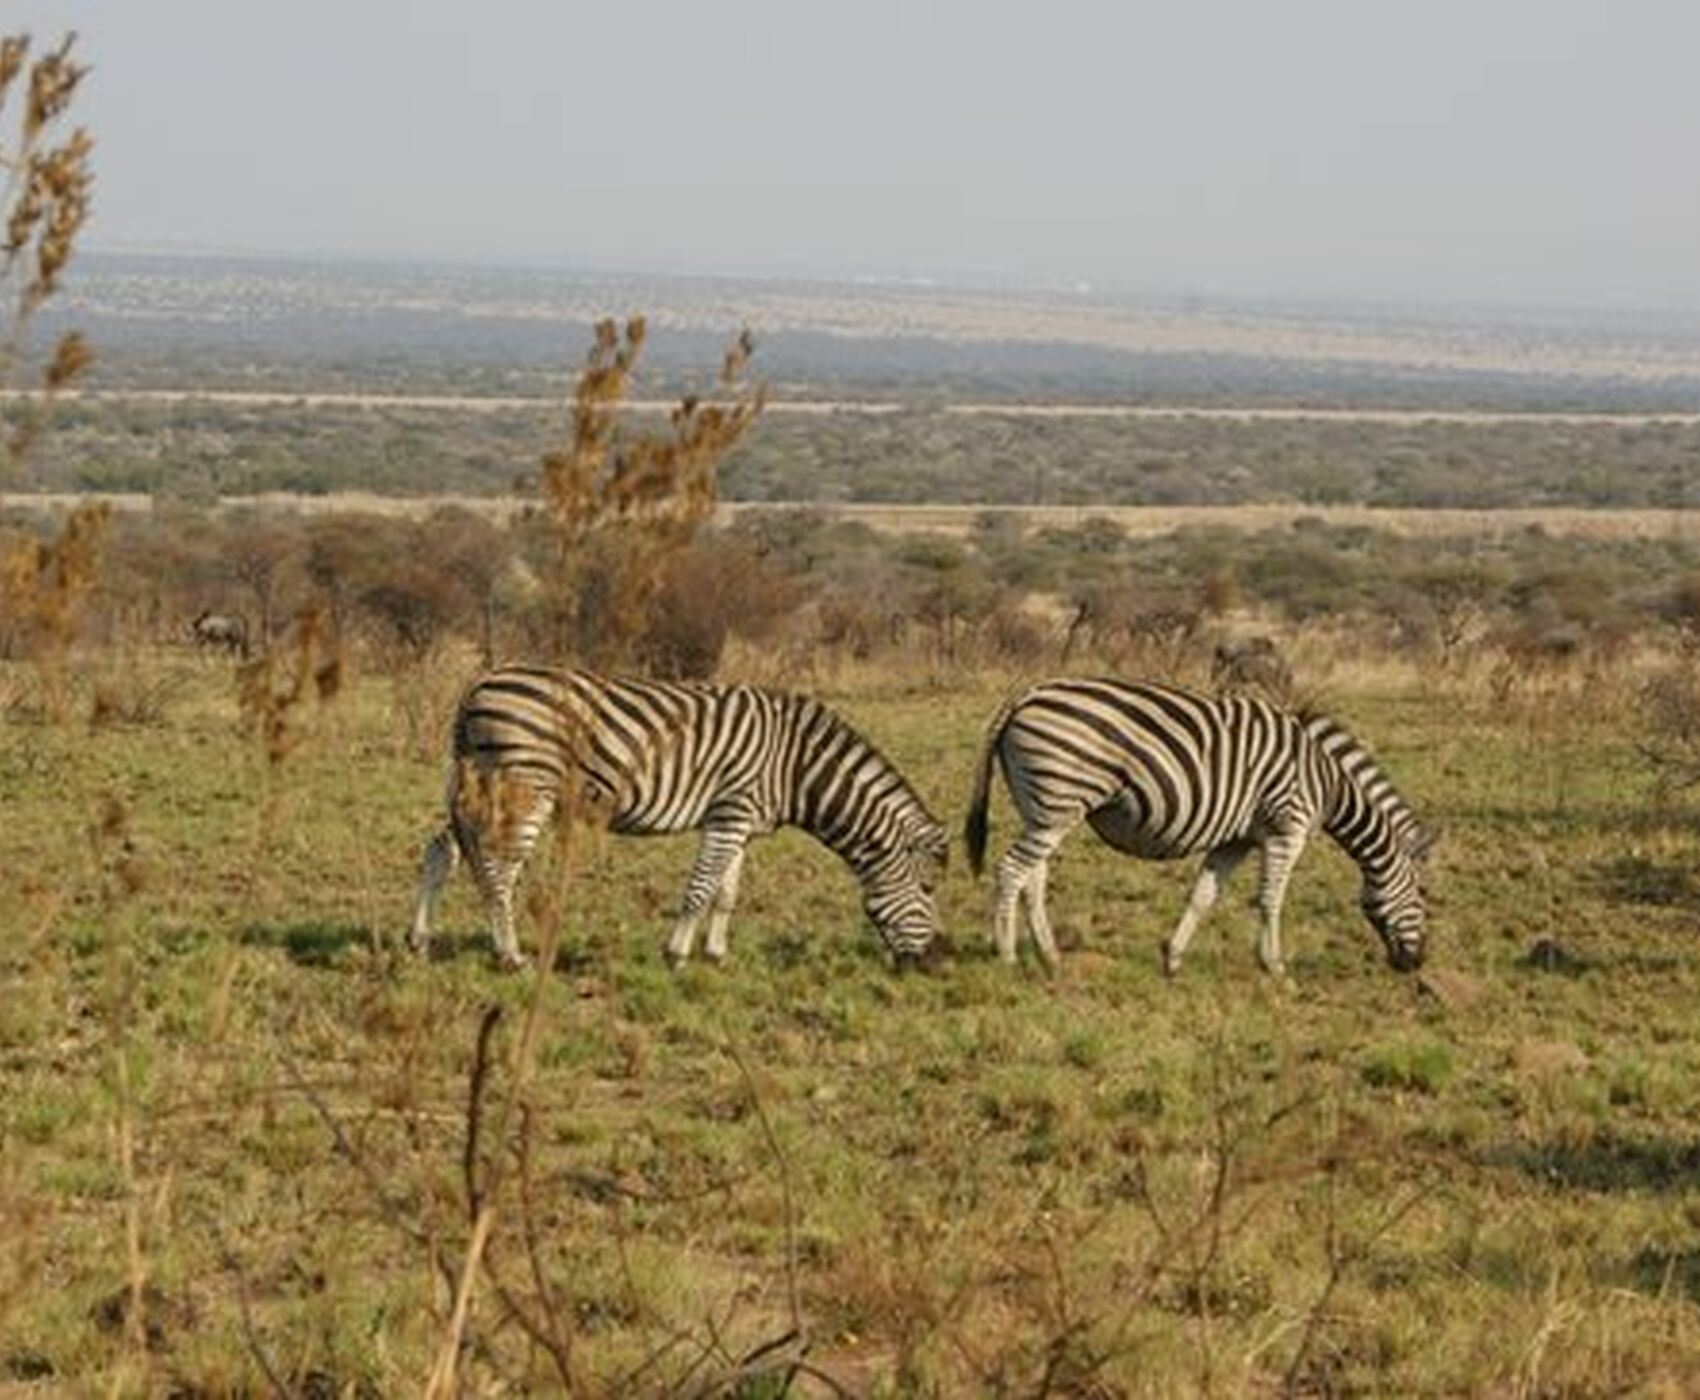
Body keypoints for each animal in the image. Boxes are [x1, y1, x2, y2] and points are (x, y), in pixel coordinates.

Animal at [406, 666, 952, 971]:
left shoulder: (743, 824)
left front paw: (716, 955)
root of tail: (479, 683)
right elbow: (700, 887)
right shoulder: (729, 811)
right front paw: (675, 955)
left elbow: (726, 893)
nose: (933, 965)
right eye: (927, 889)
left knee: (440, 852)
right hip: (522, 786)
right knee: (499, 870)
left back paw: (419, 941)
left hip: (478, 785)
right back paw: (511, 956)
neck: (796, 765)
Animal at [972, 679, 1434, 971]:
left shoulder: (1236, 839)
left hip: (1043, 810)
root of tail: (1026, 694)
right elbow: (1271, 899)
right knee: (1011, 870)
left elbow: (1203, 896)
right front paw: (1275, 965)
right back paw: (1006, 955)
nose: (1416, 964)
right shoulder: (1287, 828)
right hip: (1057, 801)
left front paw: (1173, 958)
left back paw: (1050, 956)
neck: (1327, 780)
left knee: (1033, 876)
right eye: (1422, 896)